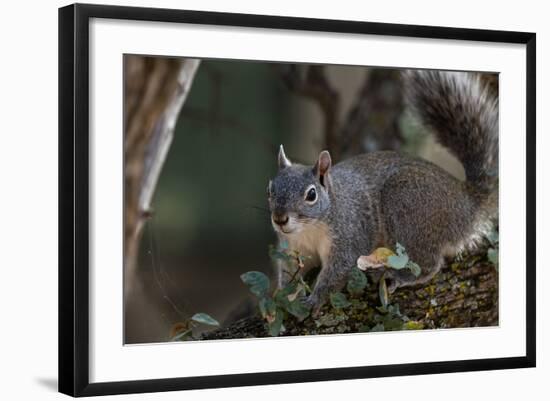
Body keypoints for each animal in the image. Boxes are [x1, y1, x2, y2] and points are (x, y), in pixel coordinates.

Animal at [268, 70, 500, 310]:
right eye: (270, 189)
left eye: (311, 194)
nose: (280, 219)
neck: (309, 228)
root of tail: (467, 203)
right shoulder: (294, 249)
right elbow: (290, 275)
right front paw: (282, 298)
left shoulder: (350, 236)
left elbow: (337, 271)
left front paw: (315, 299)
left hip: (407, 208)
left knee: (428, 265)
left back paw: (398, 275)